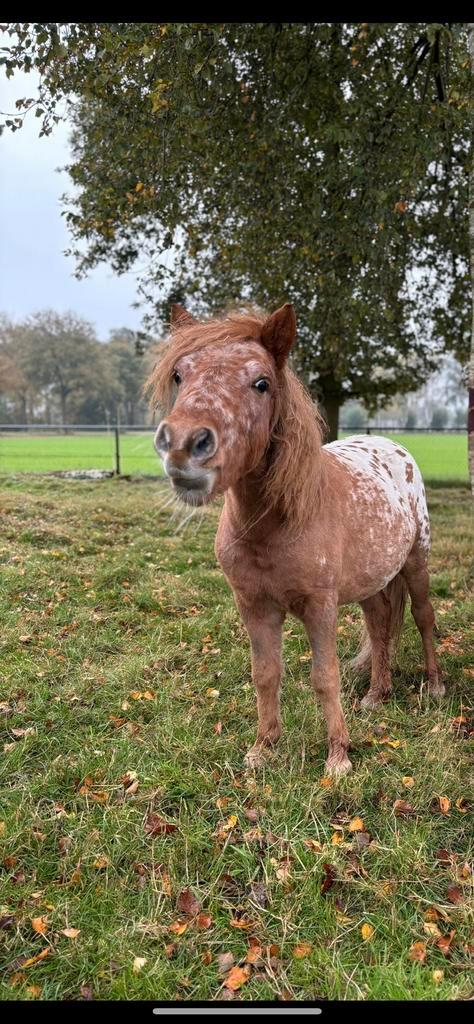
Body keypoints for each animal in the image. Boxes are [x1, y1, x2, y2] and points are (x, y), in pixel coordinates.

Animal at [148, 302, 443, 776]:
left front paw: (338, 758)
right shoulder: (253, 606)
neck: (273, 526)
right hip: (371, 582)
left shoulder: (319, 607)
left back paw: (434, 687)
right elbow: (265, 673)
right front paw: (262, 748)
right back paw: (376, 695)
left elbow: (325, 677)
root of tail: (393, 447)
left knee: (422, 617)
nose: (182, 445)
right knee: (379, 624)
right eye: (179, 375)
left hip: (417, 563)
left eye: (261, 383)